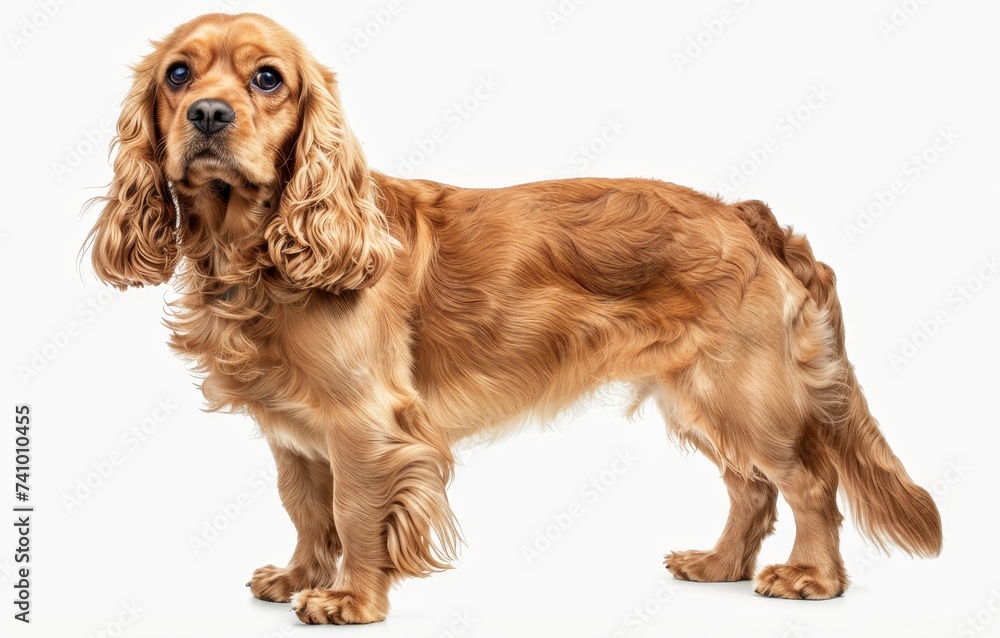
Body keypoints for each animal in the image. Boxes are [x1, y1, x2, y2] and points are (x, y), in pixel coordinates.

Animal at [82, 12, 940, 628]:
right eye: (178, 73)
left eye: (268, 79)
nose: (208, 114)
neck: (258, 256)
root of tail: (744, 215)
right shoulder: (295, 433)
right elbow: (306, 510)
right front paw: (297, 575)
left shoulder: (365, 423)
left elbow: (353, 513)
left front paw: (350, 600)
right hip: (701, 394)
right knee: (750, 489)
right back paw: (719, 564)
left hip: (747, 391)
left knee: (809, 481)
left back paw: (813, 579)